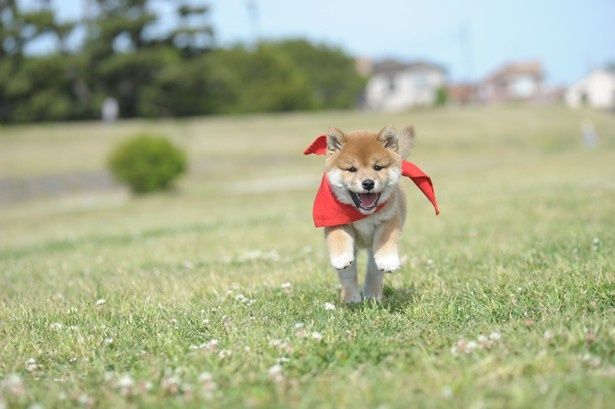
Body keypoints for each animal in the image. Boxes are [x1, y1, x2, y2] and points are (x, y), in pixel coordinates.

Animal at [304, 126, 438, 302]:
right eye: (352, 169)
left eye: (377, 167)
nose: (368, 183)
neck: (363, 213)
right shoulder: (335, 221)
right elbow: (338, 239)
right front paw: (341, 258)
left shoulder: (389, 219)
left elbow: (386, 241)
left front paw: (388, 261)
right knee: (348, 275)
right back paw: (351, 298)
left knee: (373, 272)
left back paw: (372, 295)